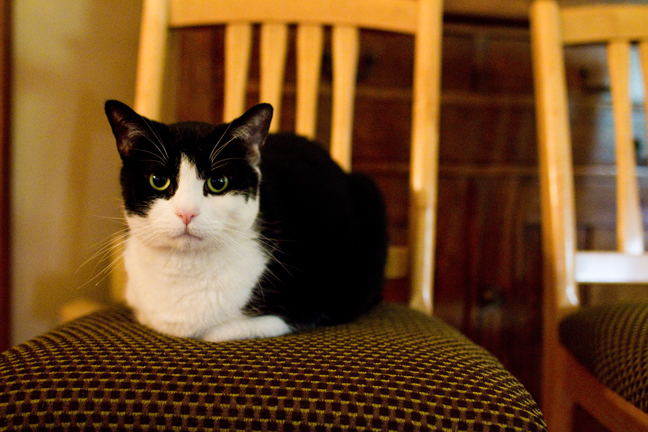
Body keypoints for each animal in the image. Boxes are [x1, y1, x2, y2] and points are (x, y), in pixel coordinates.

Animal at [105, 100, 388, 340]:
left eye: (218, 182)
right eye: (158, 180)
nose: (187, 212)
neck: (183, 270)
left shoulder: (298, 310)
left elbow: (215, 332)